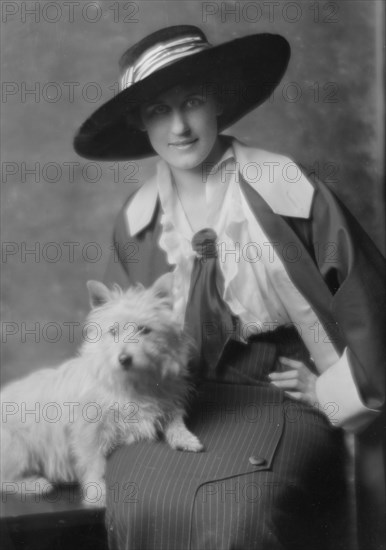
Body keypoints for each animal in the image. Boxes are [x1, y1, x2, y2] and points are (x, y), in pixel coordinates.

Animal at [0, 276, 204, 508]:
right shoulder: (89, 433)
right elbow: (95, 465)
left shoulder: (168, 402)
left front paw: (186, 439)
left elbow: (175, 419)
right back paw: (35, 484)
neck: (133, 382)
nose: (124, 359)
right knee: (4, 480)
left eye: (145, 330)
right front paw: (97, 496)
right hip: (17, 447)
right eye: (113, 332)